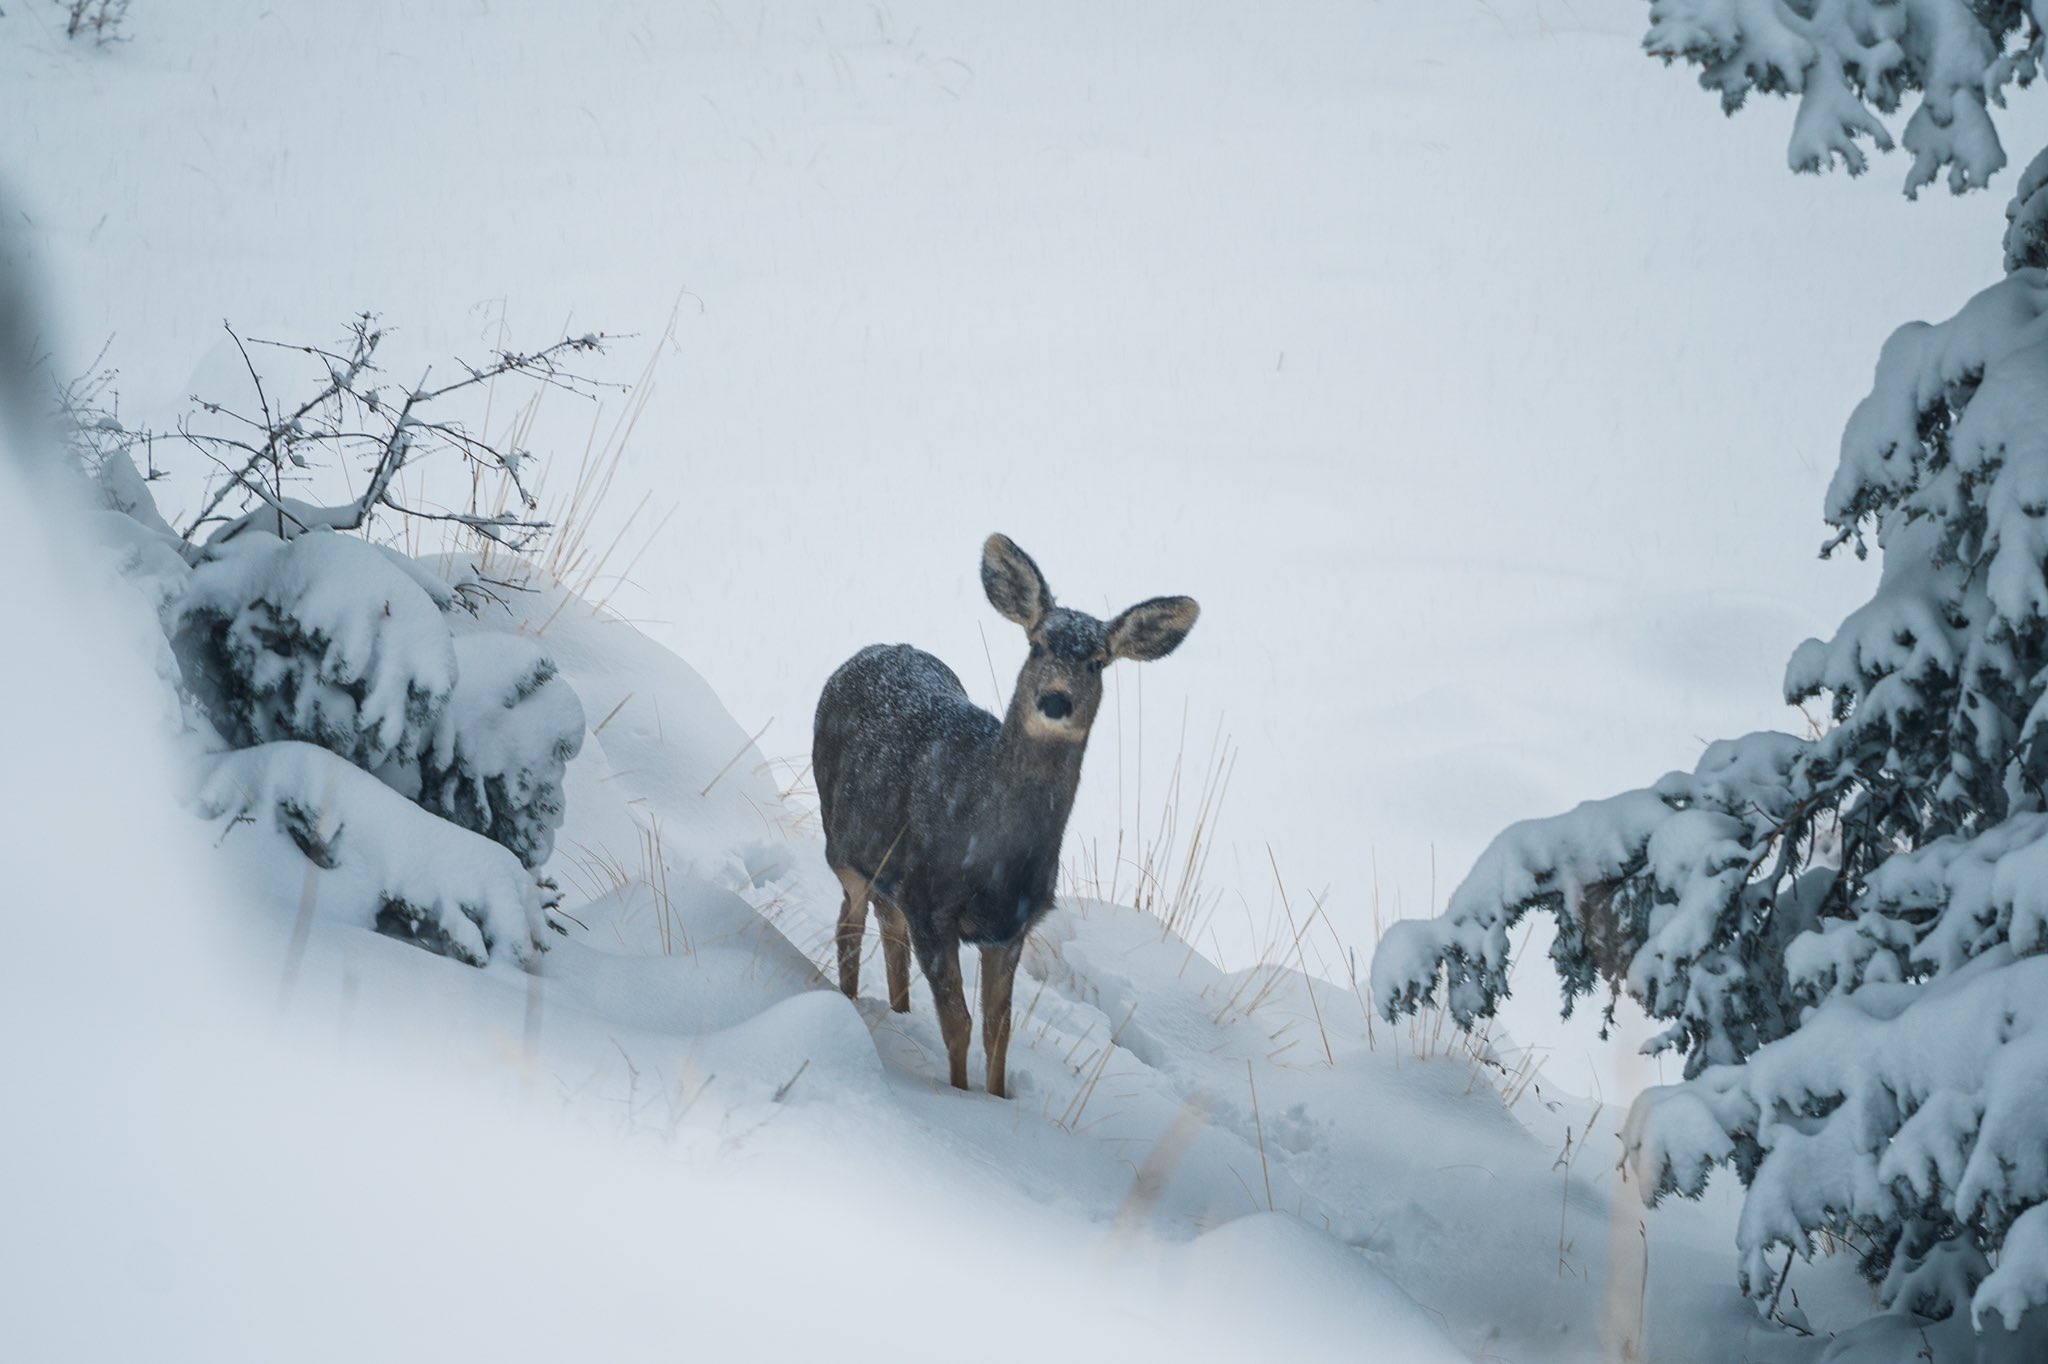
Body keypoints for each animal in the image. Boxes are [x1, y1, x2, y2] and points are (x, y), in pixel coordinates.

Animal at [815, 532, 1196, 1097]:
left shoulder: (1013, 927)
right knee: (849, 924)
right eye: (1036, 644)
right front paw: (961, 1097)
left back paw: (898, 1013)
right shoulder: (931, 902)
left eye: (1098, 661)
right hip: (843, 848)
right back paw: (849, 1003)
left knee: (887, 930)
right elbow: (959, 1022)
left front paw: (997, 1097)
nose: (1055, 700)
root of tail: (873, 651)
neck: (993, 856)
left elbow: (1000, 1030)